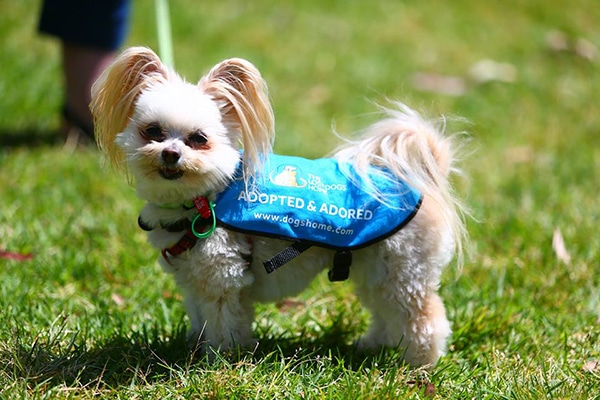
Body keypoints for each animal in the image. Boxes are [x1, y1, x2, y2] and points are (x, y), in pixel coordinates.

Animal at [91, 47, 468, 368]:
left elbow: (224, 324)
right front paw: (197, 348)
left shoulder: (224, 278)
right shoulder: (194, 281)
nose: (170, 153)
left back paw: (419, 363)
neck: (205, 199)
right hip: (375, 269)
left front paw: (219, 360)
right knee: (386, 311)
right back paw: (374, 345)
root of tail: (419, 181)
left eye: (199, 139)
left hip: (404, 271)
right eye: (152, 131)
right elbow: (201, 319)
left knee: (423, 318)